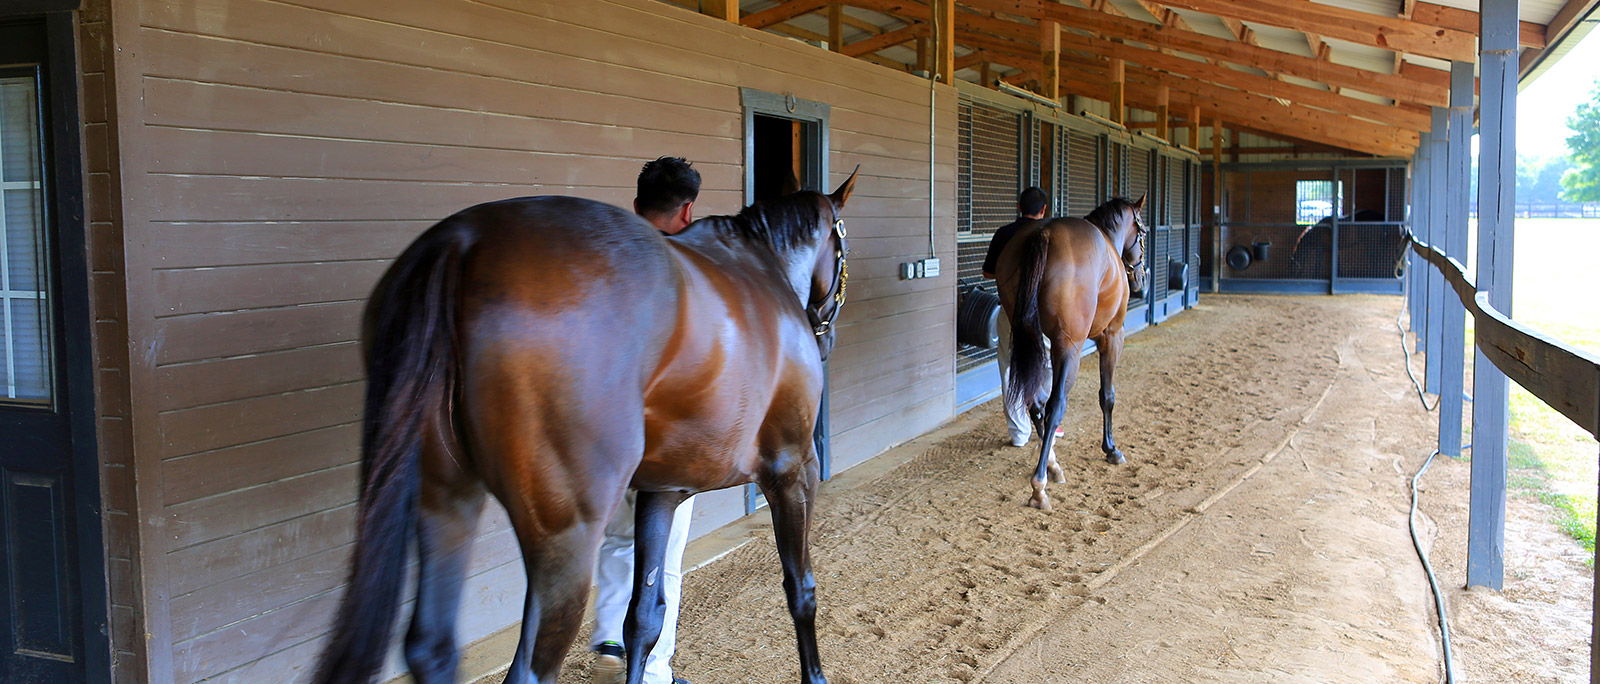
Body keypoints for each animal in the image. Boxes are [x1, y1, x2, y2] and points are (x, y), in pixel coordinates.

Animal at [312, 171, 857, 684]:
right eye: (842, 244)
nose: (827, 333)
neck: (761, 269)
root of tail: (460, 242)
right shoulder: (793, 470)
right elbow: (801, 587)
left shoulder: (662, 491)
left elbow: (643, 618)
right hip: (566, 535)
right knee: (530, 668)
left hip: (445, 501)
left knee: (432, 647)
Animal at [993, 196, 1147, 512]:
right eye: (1144, 233)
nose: (1140, 277)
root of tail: (1044, 233)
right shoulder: (1112, 336)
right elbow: (1107, 395)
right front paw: (1111, 449)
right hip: (1068, 349)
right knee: (1054, 406)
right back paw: (1040, 485)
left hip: (1029, 341)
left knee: (1035, 401)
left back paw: (1052, 465)